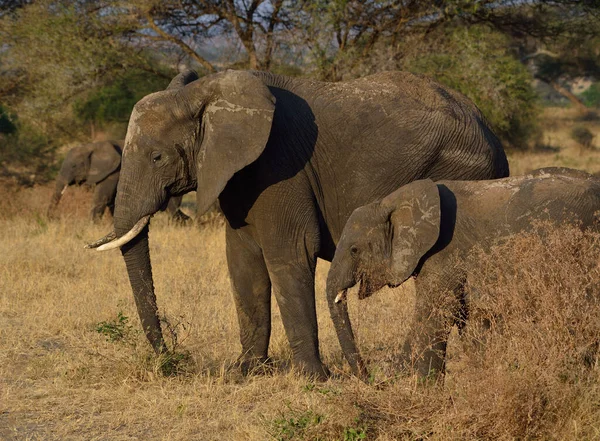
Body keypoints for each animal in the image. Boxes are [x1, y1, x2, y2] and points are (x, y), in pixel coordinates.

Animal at [49, 141, 190, 222]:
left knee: (172, 207)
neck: (92, 146)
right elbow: (113, 201)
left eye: (74, 166)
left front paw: (93, 225)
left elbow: (102, 198)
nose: (51, 220)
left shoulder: (114, 171)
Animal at [89, 69, 508, 378]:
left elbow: (289, 254)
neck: (206, 93)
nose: (174, 356)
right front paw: (244, 373)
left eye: (157, 157)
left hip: (460, 177)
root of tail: (490, 131)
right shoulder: (239, 176)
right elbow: (242, 261)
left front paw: (311, 379)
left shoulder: (281, 167)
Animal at [328, 167, 600, 380]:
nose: (370, 377)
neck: (391, 202)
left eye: (354, 250)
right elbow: (470, 317)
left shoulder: (445, 252)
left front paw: (407, 380)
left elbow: (438, 311)